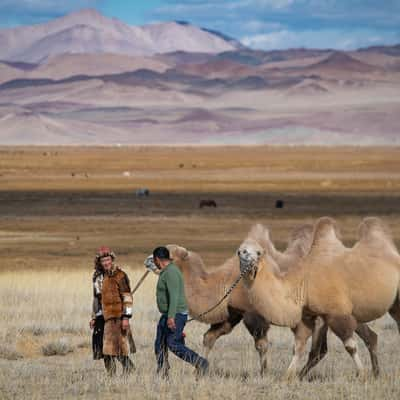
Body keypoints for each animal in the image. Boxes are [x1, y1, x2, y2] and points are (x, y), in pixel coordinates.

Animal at [166, 222, 316, 376]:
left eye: (170, 255)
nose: (153, 262)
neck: (223, 282)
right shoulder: (233, 311)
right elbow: (209, 337)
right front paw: (196, 371)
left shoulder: (253, 313)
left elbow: (261, 345)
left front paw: (264, 373)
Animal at [238, 217, 400, 376]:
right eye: (240, 252)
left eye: (259, 252)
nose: (247, 257)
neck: (301, 284)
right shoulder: (307, 316)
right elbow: (298, 346)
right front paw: (289, 376)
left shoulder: (337, 314)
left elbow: (350, 346)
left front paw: (362, 375)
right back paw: (376, 372)